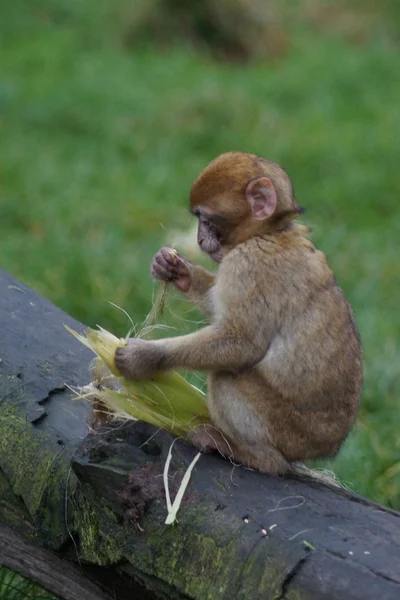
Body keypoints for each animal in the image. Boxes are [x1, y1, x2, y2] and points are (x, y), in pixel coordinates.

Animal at [115, 152, 362, 476]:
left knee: (226, 377)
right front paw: (177, 270)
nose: (199, 239)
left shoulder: (248, 265)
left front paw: (143, 357)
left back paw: (252, 456)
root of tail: (326, 447)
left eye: (206, 219)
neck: (271, 232)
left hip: (287, 430)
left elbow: (241, 343)